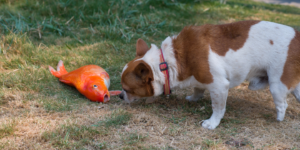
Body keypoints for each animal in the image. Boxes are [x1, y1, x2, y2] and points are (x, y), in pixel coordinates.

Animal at [119, 20, 300, 129]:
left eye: (127, 89)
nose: (120, 96)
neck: (168, 62)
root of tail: (297, 36)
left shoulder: (219, 86)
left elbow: (218, 108)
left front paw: (212, 123)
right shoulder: (199, 80)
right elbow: (198, 89)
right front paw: (194, 98)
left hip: (277, 85)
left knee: (283, 104)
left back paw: (279, 119)